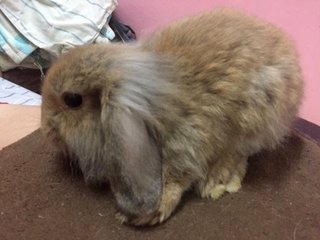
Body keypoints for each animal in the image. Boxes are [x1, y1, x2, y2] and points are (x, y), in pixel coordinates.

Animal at [41, 8, 304, 226]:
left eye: (72, 100)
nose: (48, 132)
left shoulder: (186, 141)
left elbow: (176, 176)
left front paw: (147, 212)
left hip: (259, 114)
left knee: (241, 150)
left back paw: (218, 181)